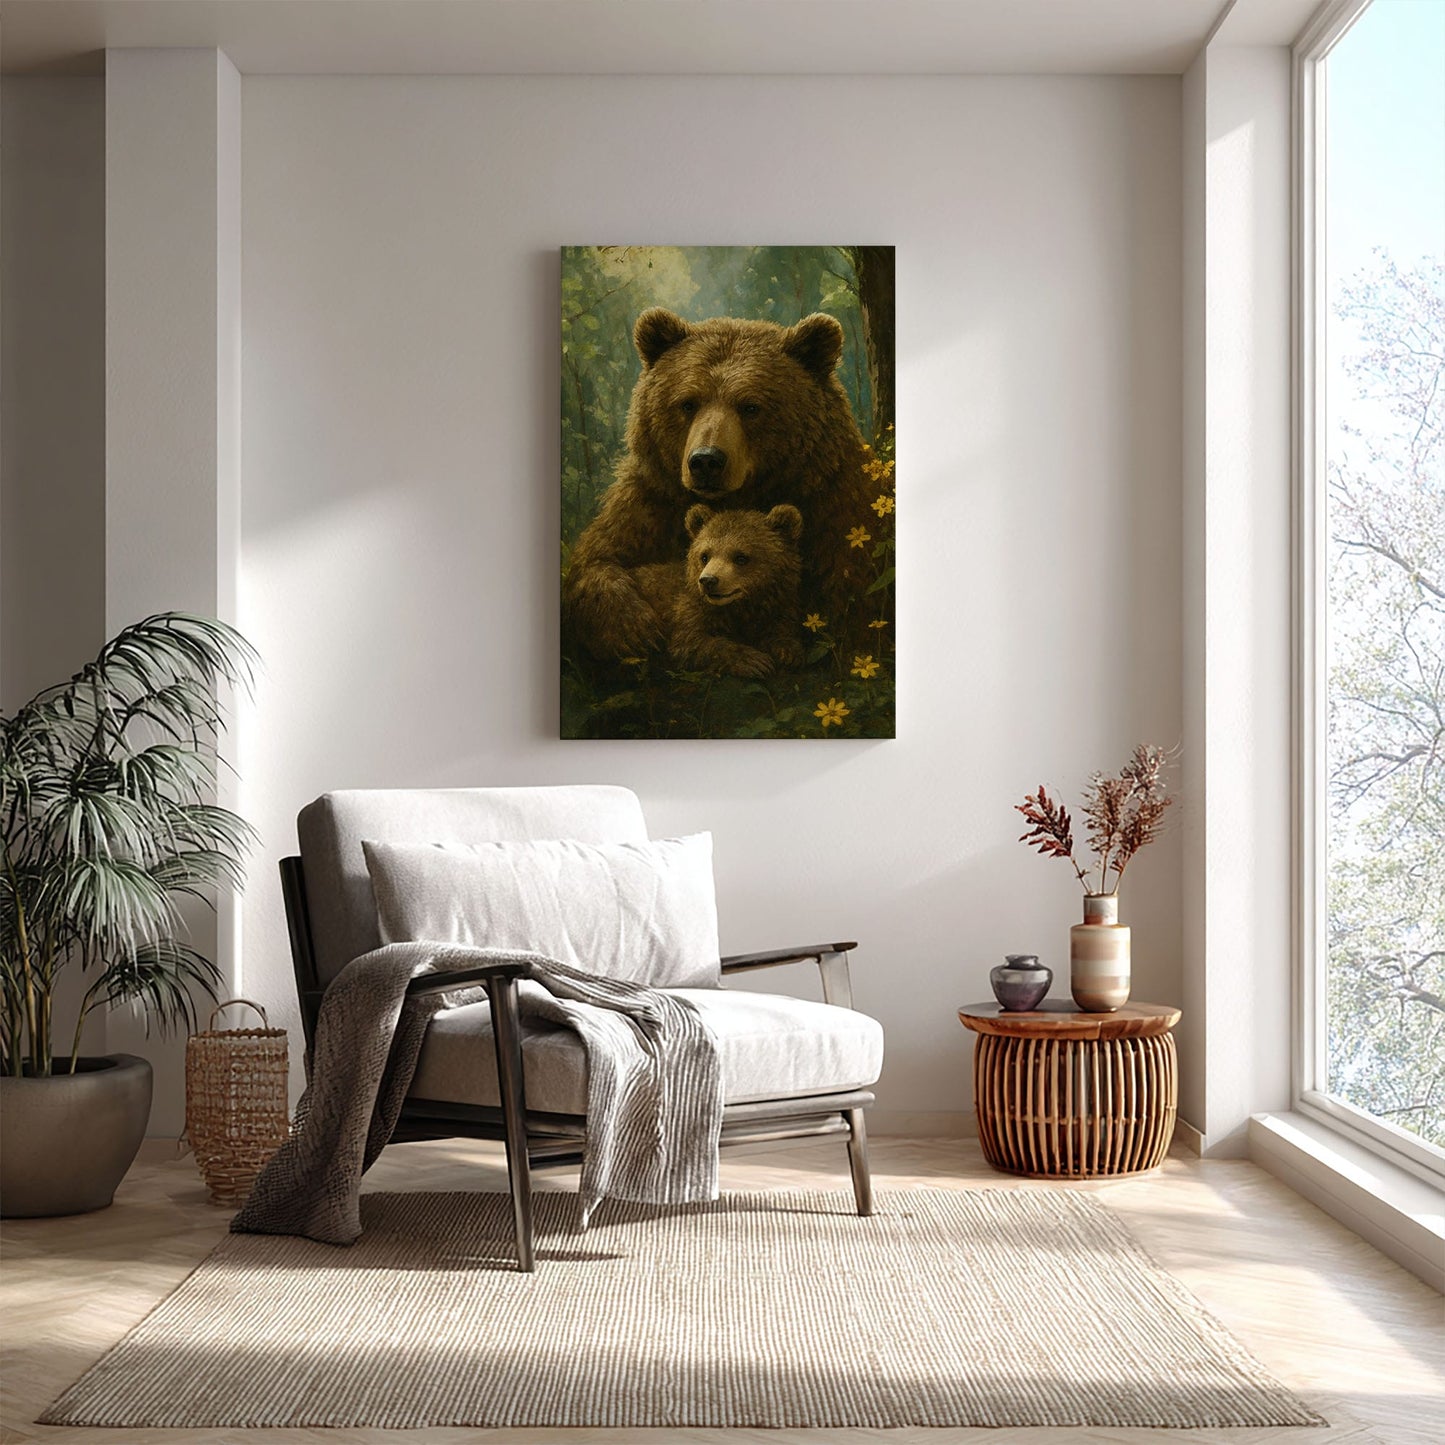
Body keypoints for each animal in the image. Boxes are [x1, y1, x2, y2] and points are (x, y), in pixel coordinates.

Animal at [563, 307, 875, 661]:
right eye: (687, 403)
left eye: (750, 406)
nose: (706, 461)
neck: (743, 495)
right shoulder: (652, 500)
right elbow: (597, 559)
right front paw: (635, 628)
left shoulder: (832, 502)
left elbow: (850, 587)